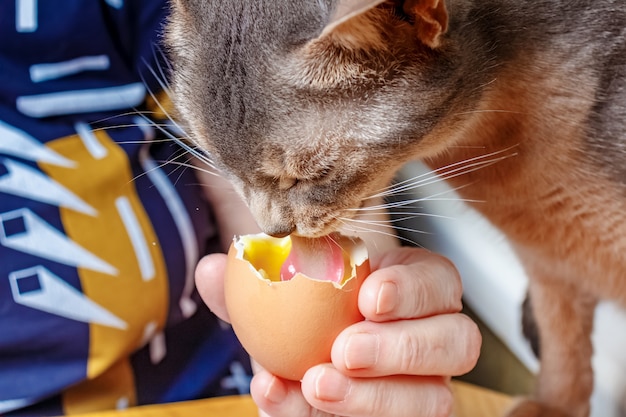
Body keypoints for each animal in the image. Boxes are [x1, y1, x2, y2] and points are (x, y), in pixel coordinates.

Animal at [165, 0, 624, 416]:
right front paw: (553, 406)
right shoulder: (550, 266)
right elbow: (563, 349)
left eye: (313, 175)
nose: (276, 230)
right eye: (221, 164)